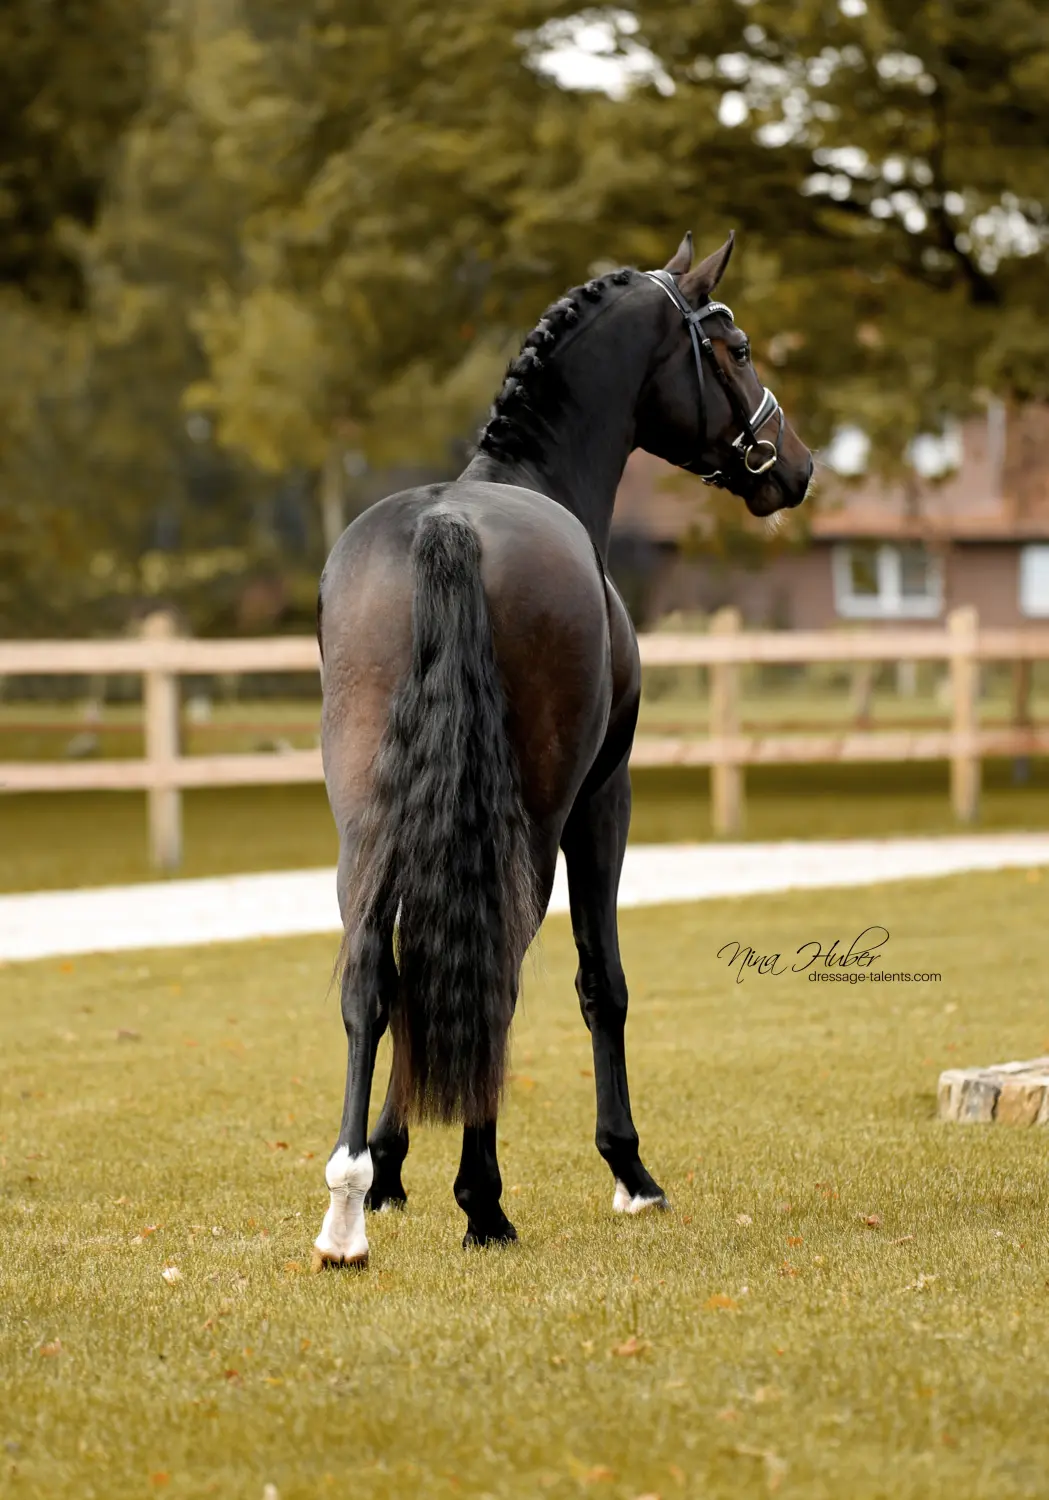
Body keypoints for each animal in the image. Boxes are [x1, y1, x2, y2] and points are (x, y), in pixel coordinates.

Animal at [311, 230, 812, 1269]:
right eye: (736, 347)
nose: (795, 465)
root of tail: (448, 529)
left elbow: (409, 977)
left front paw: (388, 1169)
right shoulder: (603, 798)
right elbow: (600, 981)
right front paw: (631, 1172)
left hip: (367, 822)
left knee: (375, 976)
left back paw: (345, 1209)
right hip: (539, 818)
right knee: (496, 972)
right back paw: (485, 1202)